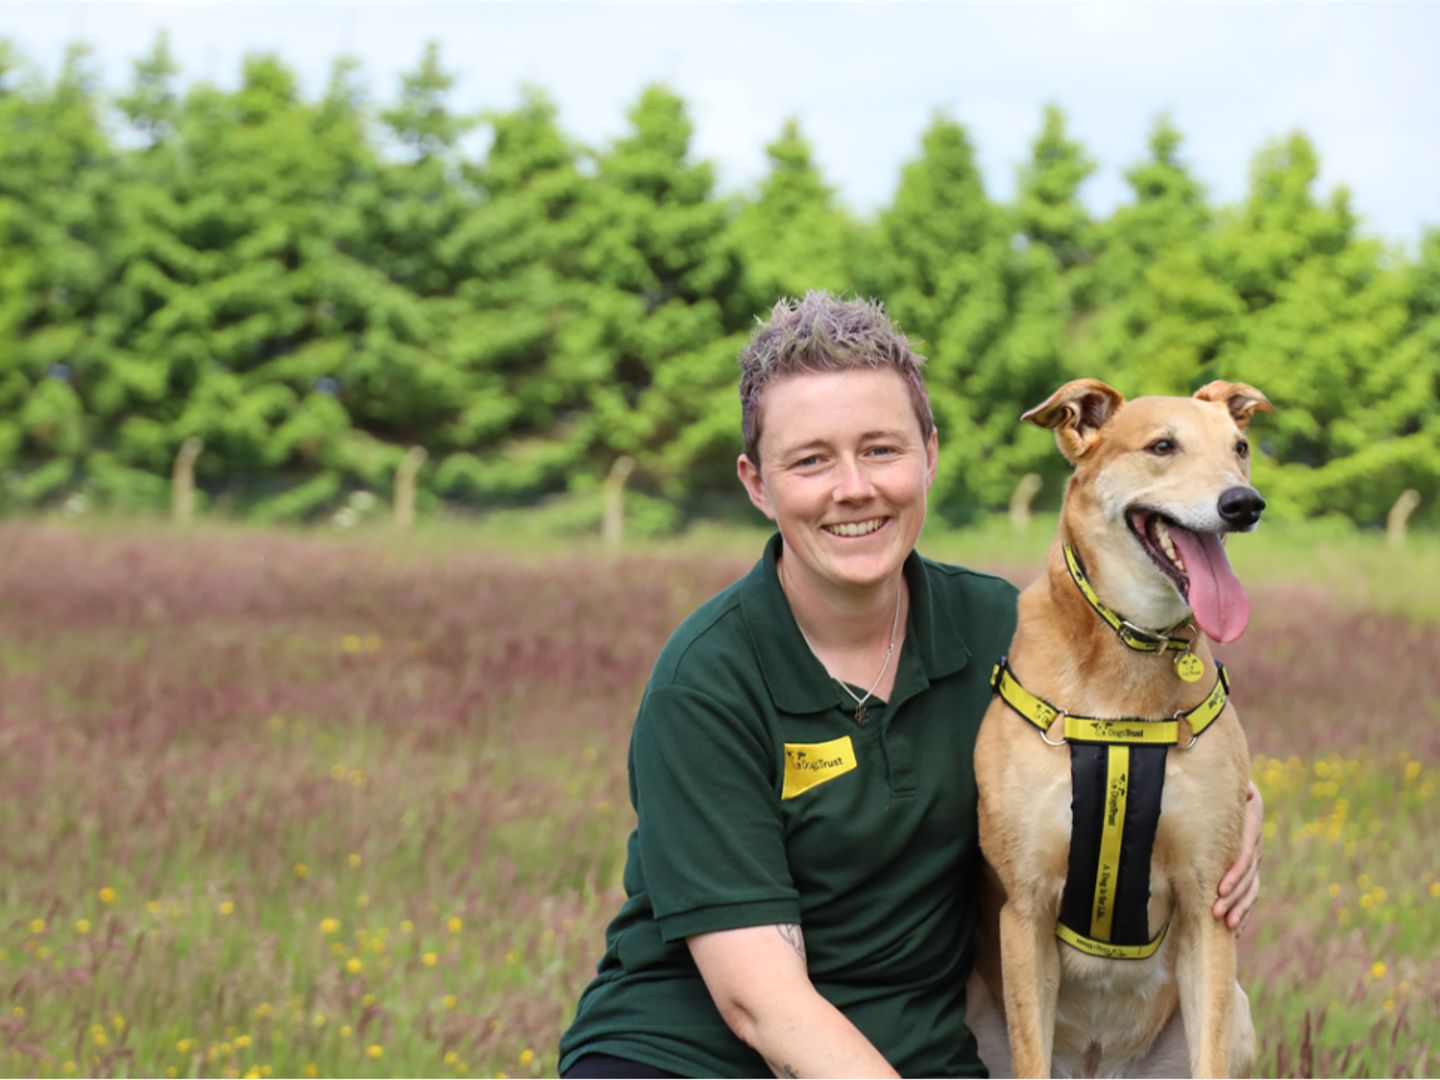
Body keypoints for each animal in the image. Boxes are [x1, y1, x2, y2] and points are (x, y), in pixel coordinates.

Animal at [967, 380, 1272, 1080]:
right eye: (1162, 446)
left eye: (1240, 448)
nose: (1243, 504)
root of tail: (1099, 1063)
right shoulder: (1024, 910)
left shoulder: (1208, 904)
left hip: (1238, 1014)